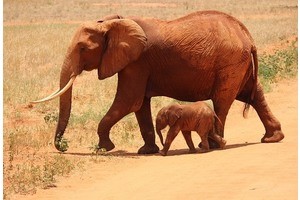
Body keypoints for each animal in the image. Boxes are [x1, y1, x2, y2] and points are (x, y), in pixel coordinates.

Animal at [32, 10, 284, 154]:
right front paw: (146, 151)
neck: (111, 23)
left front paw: (104, 148)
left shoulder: (137, 61)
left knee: (222, 101)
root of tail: (248, 36)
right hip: (239, 65)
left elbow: (128, 101)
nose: (62, 148)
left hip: (230, 63)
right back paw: (272, 138)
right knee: (254, 93)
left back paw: (213, 146)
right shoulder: (136, 64)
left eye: (83, 48)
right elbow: (139, 105)